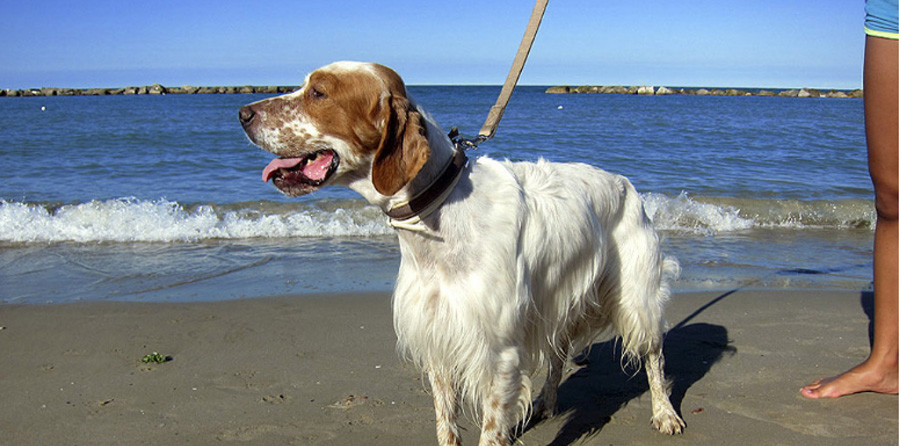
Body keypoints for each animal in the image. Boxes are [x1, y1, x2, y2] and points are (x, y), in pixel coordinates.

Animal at [239, 61, 684, 444]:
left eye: (318, 92)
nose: (242, 112)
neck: (438, 219)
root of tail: (627, 184)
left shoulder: (499, 353)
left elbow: (491, 428)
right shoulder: (437, 338)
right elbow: (446, 421)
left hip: (636, 299)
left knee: (655, 357)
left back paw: (665, 414)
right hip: (557, 299)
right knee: (558, 354)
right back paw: (547, 402)